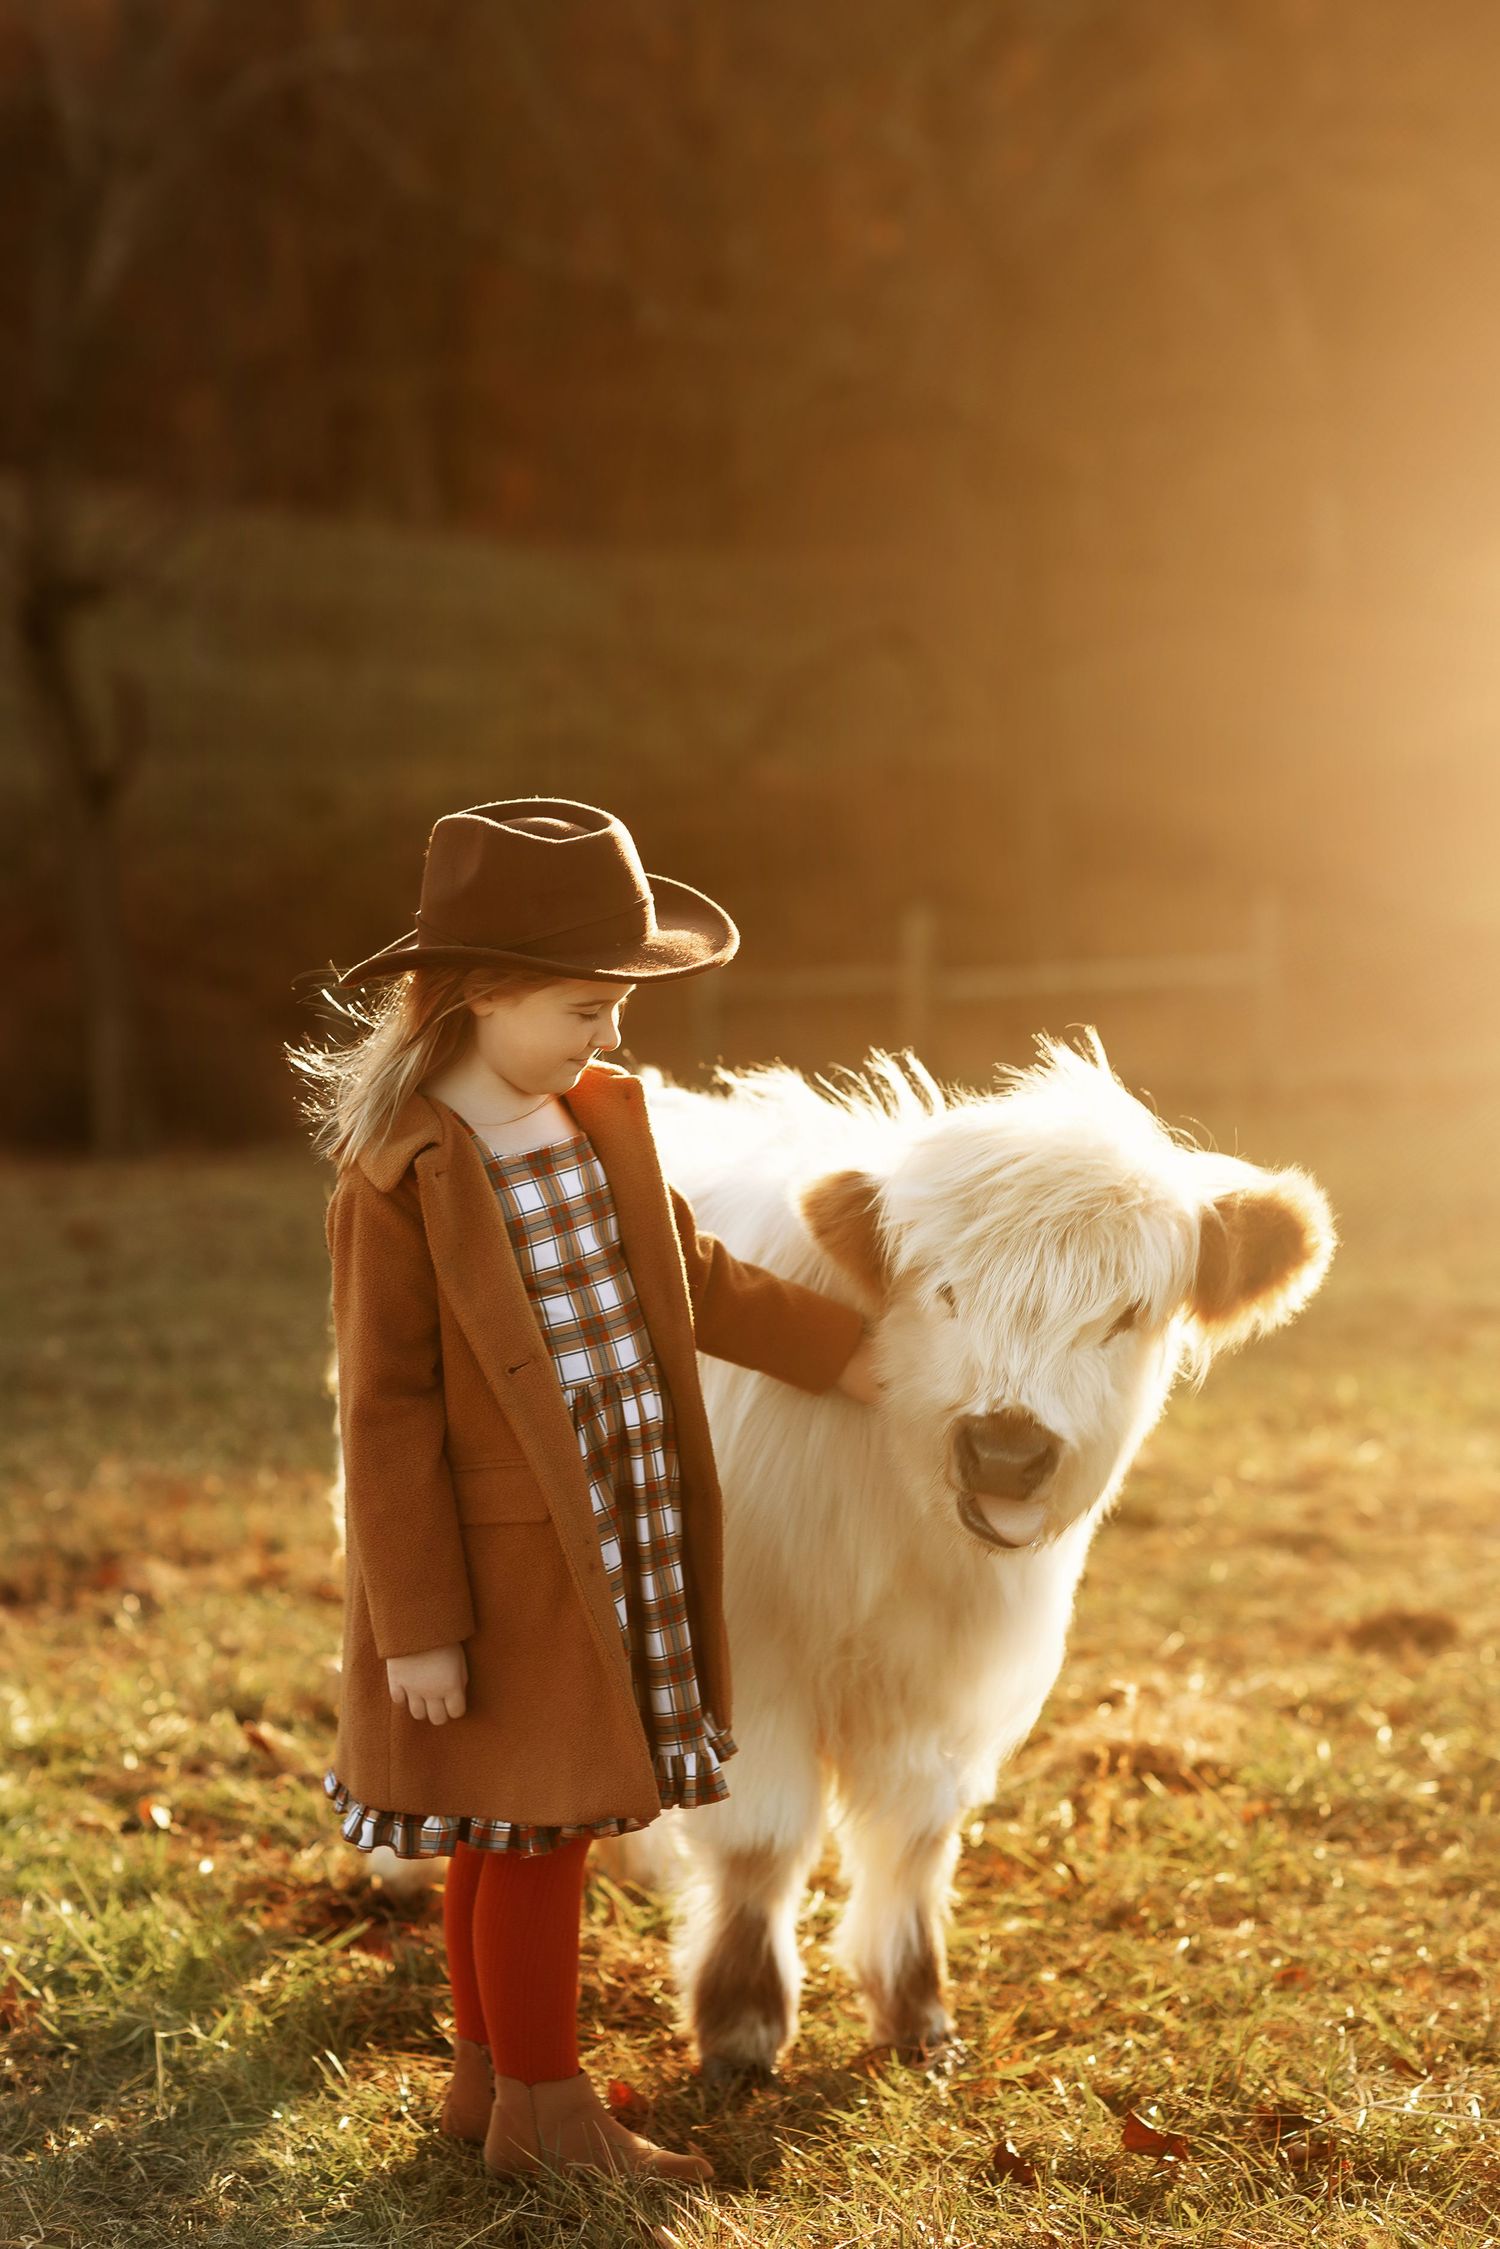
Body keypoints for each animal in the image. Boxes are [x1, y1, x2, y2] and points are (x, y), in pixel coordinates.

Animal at [617, 1032, 1335, 2082]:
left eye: (1127, 1312)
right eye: (944, 1290)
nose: (1005, 1448)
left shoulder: (945, 1682)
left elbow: (915, 1837)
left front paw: (916, 2007)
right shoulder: (750, 1667)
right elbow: (761, 1841)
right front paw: (742, 2021)